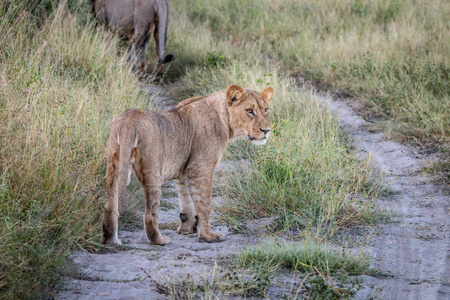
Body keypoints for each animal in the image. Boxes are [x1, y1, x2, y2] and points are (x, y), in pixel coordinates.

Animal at [102, 85, 272, 245]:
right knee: (150, 213)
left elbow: (186, 202)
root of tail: (129, 121)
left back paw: (111, 241)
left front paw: (187, 228)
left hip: (114, 164)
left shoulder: (184, 169)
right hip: (152, 169)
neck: (224, 117)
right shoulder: (201, 167)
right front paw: (208, 236)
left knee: (109, 206)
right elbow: (204, 204)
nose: (266, 130)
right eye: (249, 111)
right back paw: (160, 240)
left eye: (266, 110)